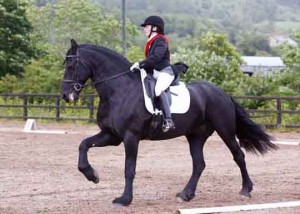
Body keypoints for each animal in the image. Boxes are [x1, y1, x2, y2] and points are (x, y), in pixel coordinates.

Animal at [61, 39, 278, 206]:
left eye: (71, 67)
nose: (65, 95)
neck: (119, 90)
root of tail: (221, 92)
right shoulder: (112, 136)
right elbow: (83, 145)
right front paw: (92, 175)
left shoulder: (131, 137)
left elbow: (129, 169)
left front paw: (124, 199)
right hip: (195, 135)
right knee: (199, 164)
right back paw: (186, 194)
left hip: (225, 130)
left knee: (238, 155)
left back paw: (246, 190)